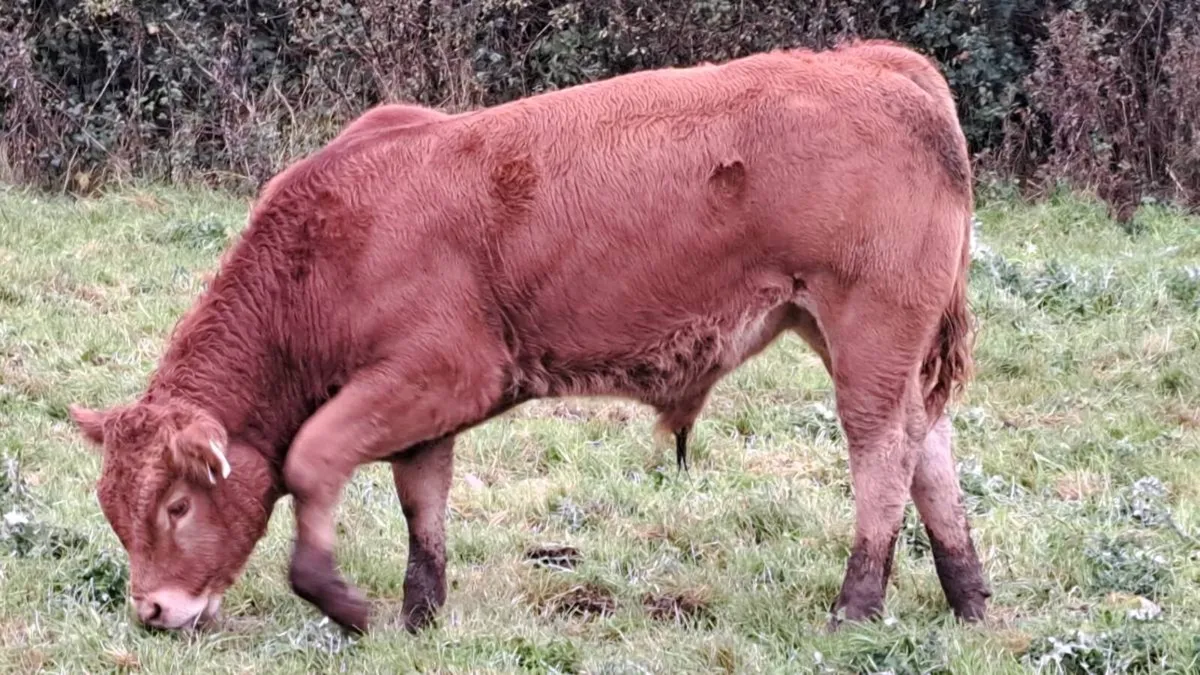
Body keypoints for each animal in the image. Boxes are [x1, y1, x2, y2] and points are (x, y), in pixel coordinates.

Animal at [68, 38, 990, 635]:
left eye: (178, 504)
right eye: (114, 509)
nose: (153, 611)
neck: (330, 242)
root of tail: (874, 62)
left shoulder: (443, 371)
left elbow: (311, 459)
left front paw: (346, 603)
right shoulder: (421, 403)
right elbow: (422, 501)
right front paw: (422, 615)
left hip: (868, 328)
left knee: (882, 451)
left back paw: (857, 608)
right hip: (862, 337)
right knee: (929, 446)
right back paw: (969, 598)